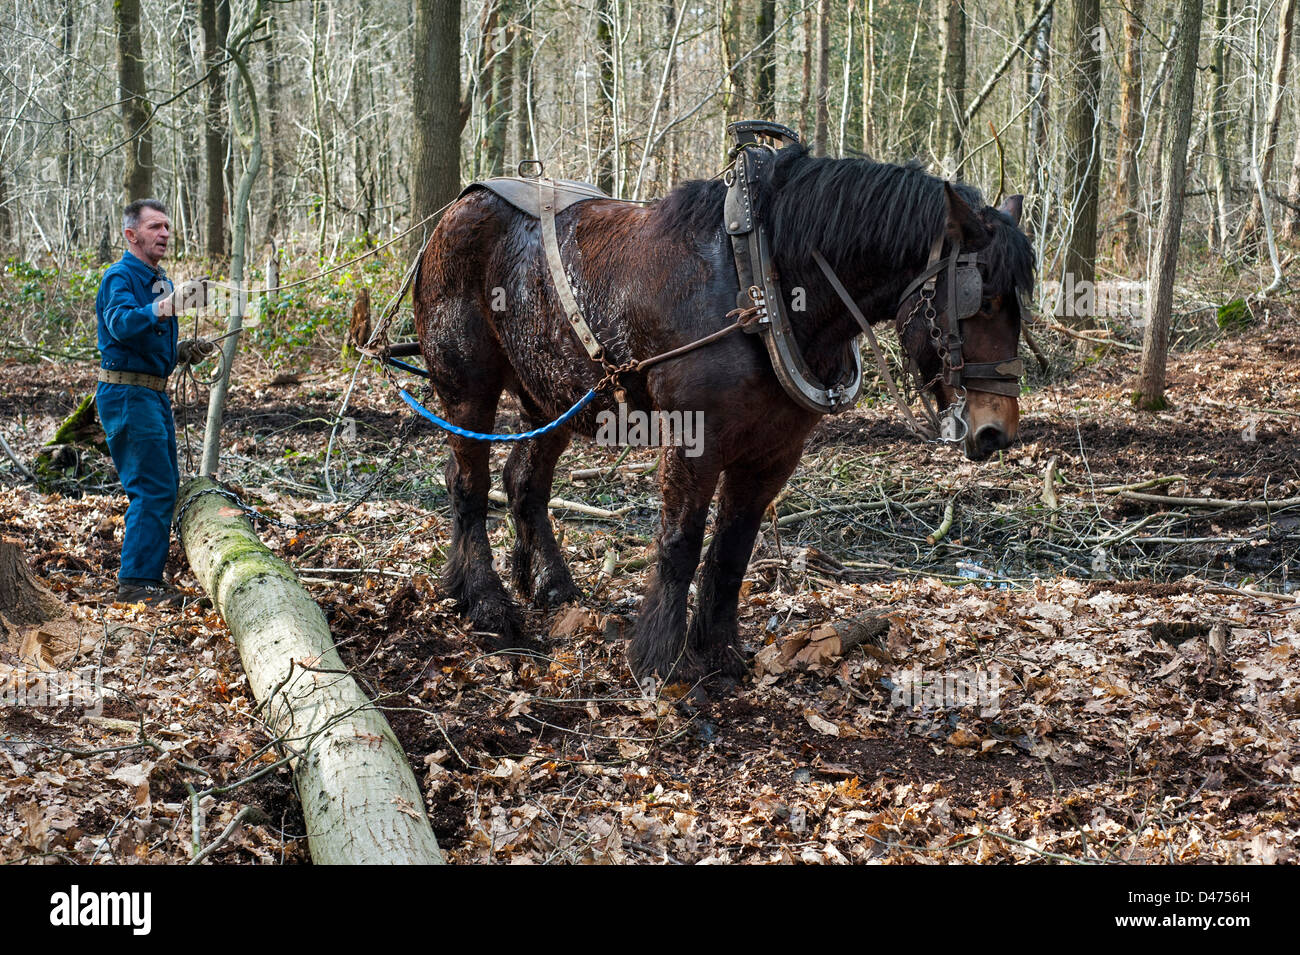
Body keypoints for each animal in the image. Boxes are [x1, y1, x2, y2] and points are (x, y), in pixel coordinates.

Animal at [412, 142, 1033, 688]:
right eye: (981, 299)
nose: (996, 429)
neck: (761, 282)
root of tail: (455, 211)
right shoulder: (695, 440)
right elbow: (681, 542)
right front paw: (660, 658)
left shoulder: (774, 453)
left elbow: (732, 550)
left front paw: (719, 652)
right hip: (467, 386)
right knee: (467, 483)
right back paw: (485, 604)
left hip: (553, 394)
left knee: (524, 483)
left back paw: (549, 585)